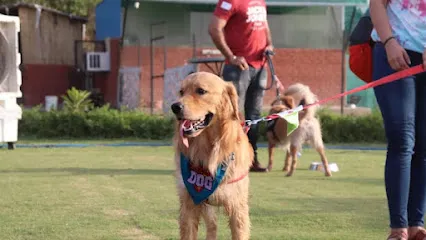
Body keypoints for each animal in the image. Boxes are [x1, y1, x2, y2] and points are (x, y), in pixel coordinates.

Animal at [171, 71, 253, 240]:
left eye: (201, 91)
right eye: (181, 92)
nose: (175, 107)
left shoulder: (238, 208)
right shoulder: (189, 205)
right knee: (212, 227)